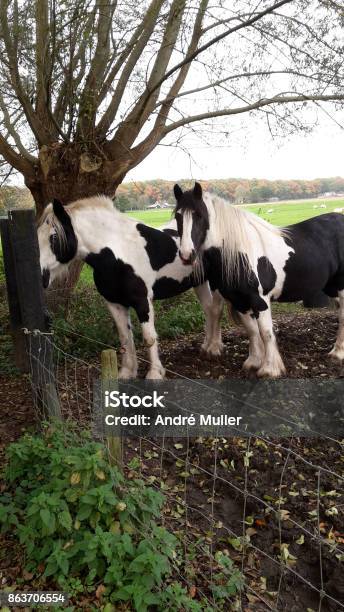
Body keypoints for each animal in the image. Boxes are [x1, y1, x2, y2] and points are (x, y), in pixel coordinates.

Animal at [38, 196, 226, 378]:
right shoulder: (114, 303)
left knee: (216, 309)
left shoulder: (142, 301)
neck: (118, 252)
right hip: (199, 282)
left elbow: (149, 338)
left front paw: (155, 373)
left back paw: (215, 348)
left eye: (53, 237)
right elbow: (125, 337)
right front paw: (127, 371)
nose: (41, 277)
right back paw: (206, 347)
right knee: (209, 309)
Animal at [176, 180, 344, 378]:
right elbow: (252, 331)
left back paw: (338, 353)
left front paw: (270, 369)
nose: (186, 255)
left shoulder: (260, 300)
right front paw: (254, 362)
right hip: (331, 287)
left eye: (199, 215)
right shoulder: (240, 300)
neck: (240, 252)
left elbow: (265, 332)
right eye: (178, 216)